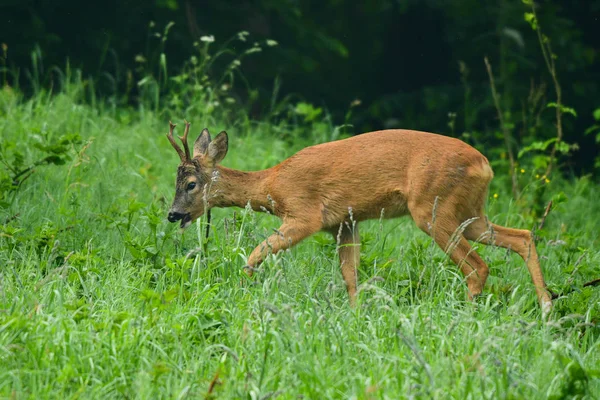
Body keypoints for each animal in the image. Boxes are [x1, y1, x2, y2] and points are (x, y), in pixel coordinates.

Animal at [164, 120, 552, 318]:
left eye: (191, 183)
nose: (172, 214)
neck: (272, 185)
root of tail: (484, 164)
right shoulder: (344, 222)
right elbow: (350, 276)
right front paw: (354, 318)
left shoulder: (304, 214)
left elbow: (256, 253)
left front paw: (242, 294)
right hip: (470, 212)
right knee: (523, 236)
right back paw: (547, 309)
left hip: (433, 207)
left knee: (477, 267)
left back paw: (466, 320)